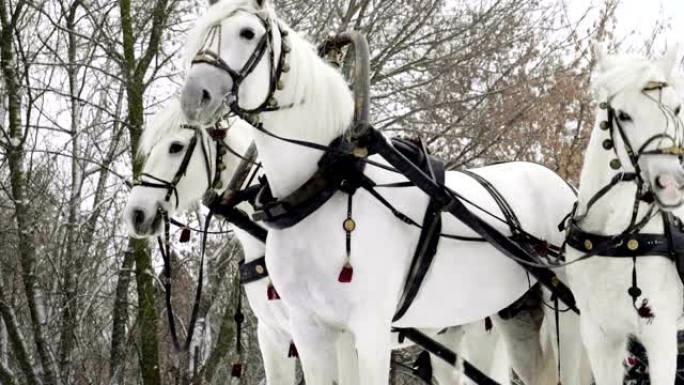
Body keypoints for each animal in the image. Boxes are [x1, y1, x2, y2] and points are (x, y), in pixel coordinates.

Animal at [179, 1, 592, 382]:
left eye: (247, 33)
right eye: (200, 36)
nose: (195, 97)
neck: (327, 185)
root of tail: (563, 187)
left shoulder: (369, 328)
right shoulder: (310, 328)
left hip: (563, 318)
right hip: (517, 317)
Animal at [564, 48, 684, 384]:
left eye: (676, 108)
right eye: (624, 115)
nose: (671, 185)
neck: (616, 237)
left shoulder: (661, 335)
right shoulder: (600, 337)